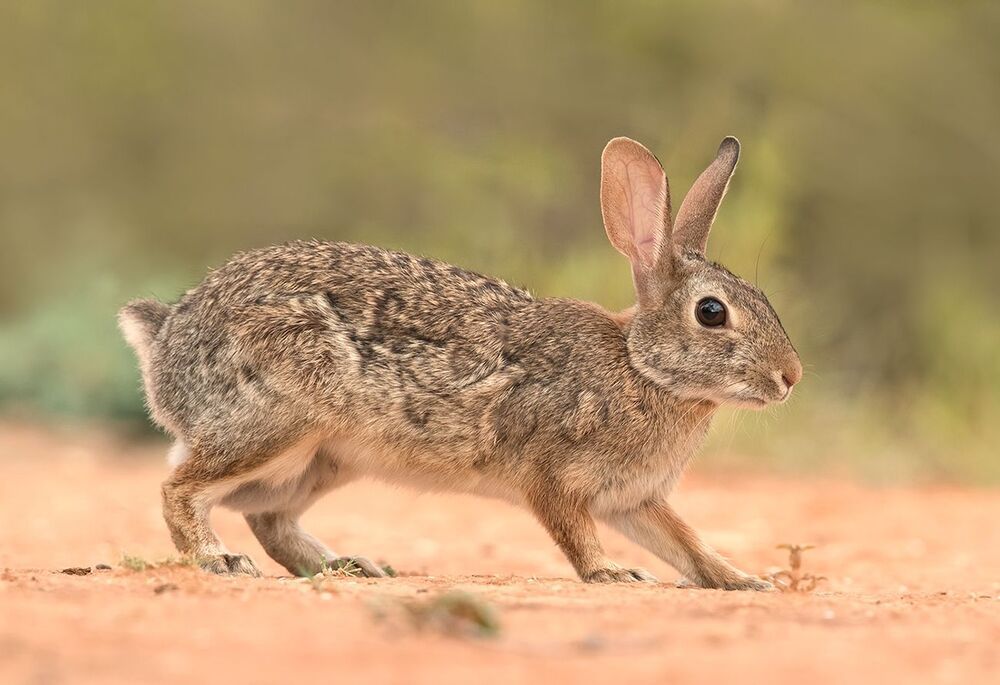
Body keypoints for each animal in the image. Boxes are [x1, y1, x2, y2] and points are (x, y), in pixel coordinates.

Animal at [119, 136, 801, 588]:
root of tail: (167, 336)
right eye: (712, 313)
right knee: (180, 488)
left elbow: (687, 542)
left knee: (267, 518)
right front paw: (614, 573)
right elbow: (574, 533)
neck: (641, 367)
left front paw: (743, 580)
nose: (790, 377)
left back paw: (350, 566)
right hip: (278, 422)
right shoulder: (552, 475)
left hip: (323, 459)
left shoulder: (634, 500)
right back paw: (217, 559)